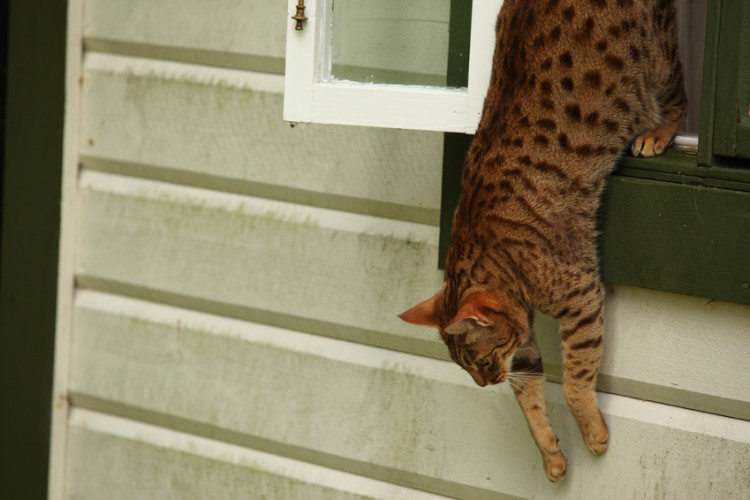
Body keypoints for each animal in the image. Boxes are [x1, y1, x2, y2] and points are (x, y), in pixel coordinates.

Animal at [400, 0, 688, 484]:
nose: (486, 384)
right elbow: (530, 397)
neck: (491, 252)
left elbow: (573, 381)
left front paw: (593, 433)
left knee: (680, 96)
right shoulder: (522, 333)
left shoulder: (581, 295)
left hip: (659, 60)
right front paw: (551, 455)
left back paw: (657, 133)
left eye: (479, 363)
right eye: (465, 369)